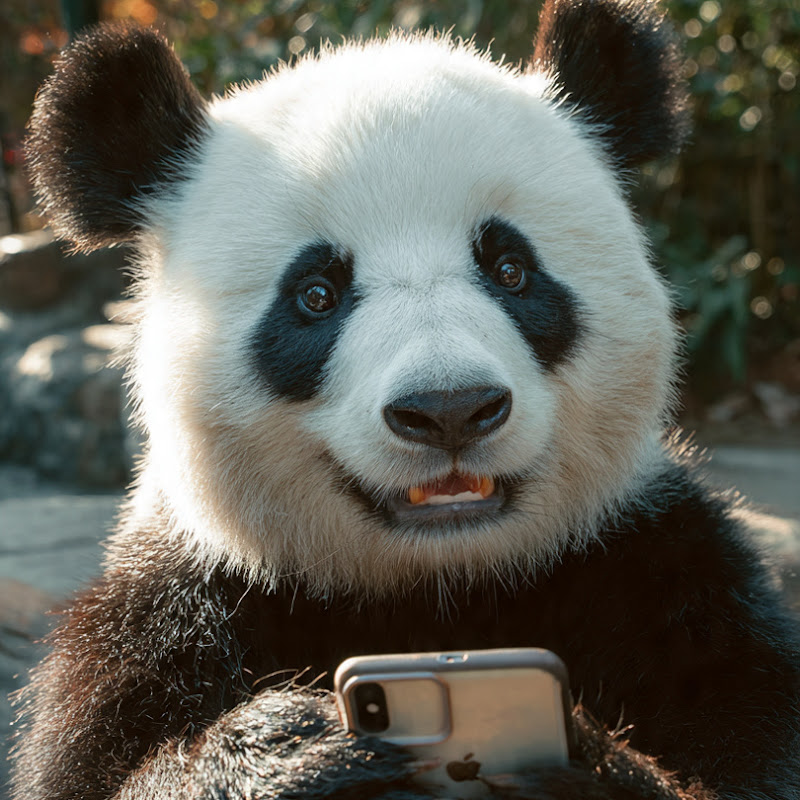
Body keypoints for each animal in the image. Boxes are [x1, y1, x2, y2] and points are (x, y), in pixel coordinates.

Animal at [13, 0, 800, 798]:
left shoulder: (668, 574)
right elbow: (98, 762)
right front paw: (286, 749)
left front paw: (558, 756)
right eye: (316, 294)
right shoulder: (173, 606)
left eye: (511, 270)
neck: (439, 588)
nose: (450, 409)